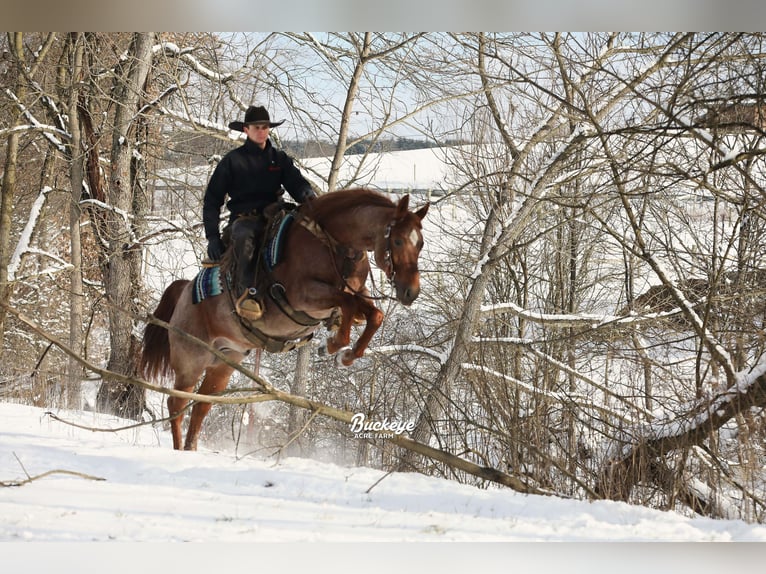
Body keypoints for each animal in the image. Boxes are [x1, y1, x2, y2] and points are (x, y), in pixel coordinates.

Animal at [141, 188, 428, 450]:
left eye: (421, 243)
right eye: (398, 241)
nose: (411, 291)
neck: (332, 244)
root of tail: (185, 291)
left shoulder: (354, 296)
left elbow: (373, 314)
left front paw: (344, 353)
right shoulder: (304, 296)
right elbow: (347, 305)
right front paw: (335, 345)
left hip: (224, 363)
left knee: (202, 406)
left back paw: (191, 449)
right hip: (191, 361)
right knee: (176, 402)